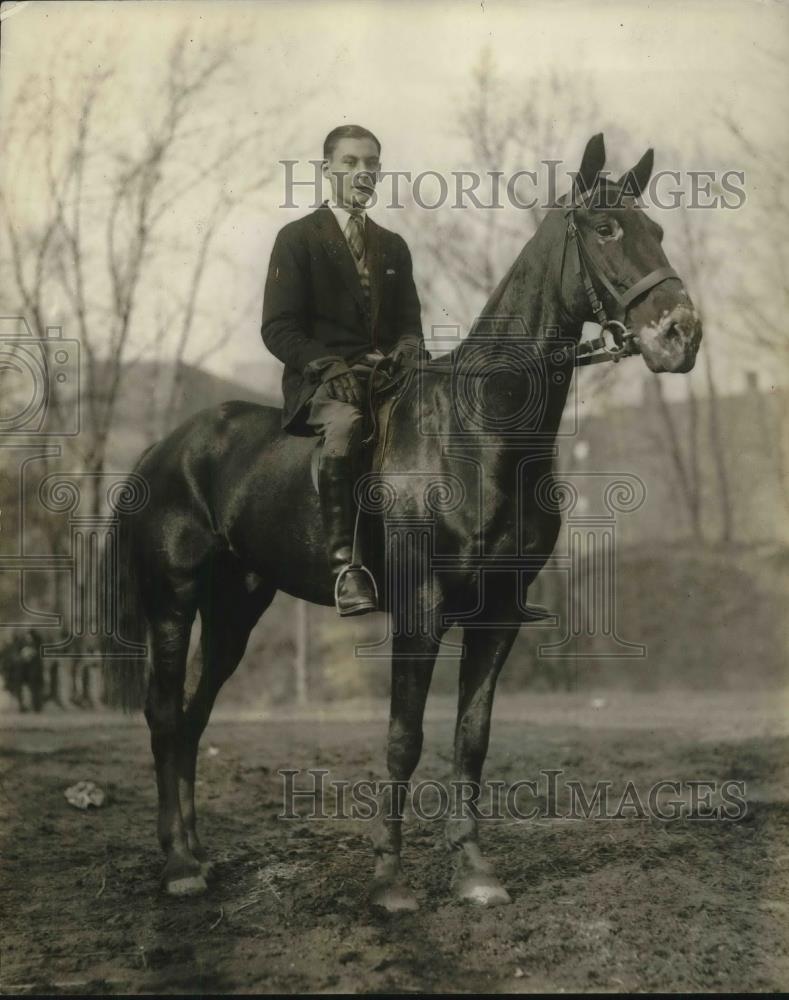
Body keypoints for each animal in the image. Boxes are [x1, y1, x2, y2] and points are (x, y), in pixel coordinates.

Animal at [101, 137, 700, 912]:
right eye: (604, 230)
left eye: (654, 229)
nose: (681, 334)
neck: (479, 432)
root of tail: (164, 447)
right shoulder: (418, 611)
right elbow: (402, 739)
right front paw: (388, 878)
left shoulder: (497, 615)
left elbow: (470, 737)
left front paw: (472, 869)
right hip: (173, 602)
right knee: (166, 714)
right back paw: (176, 863)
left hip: (235, 607)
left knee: (196, 714)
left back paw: (198, 852)